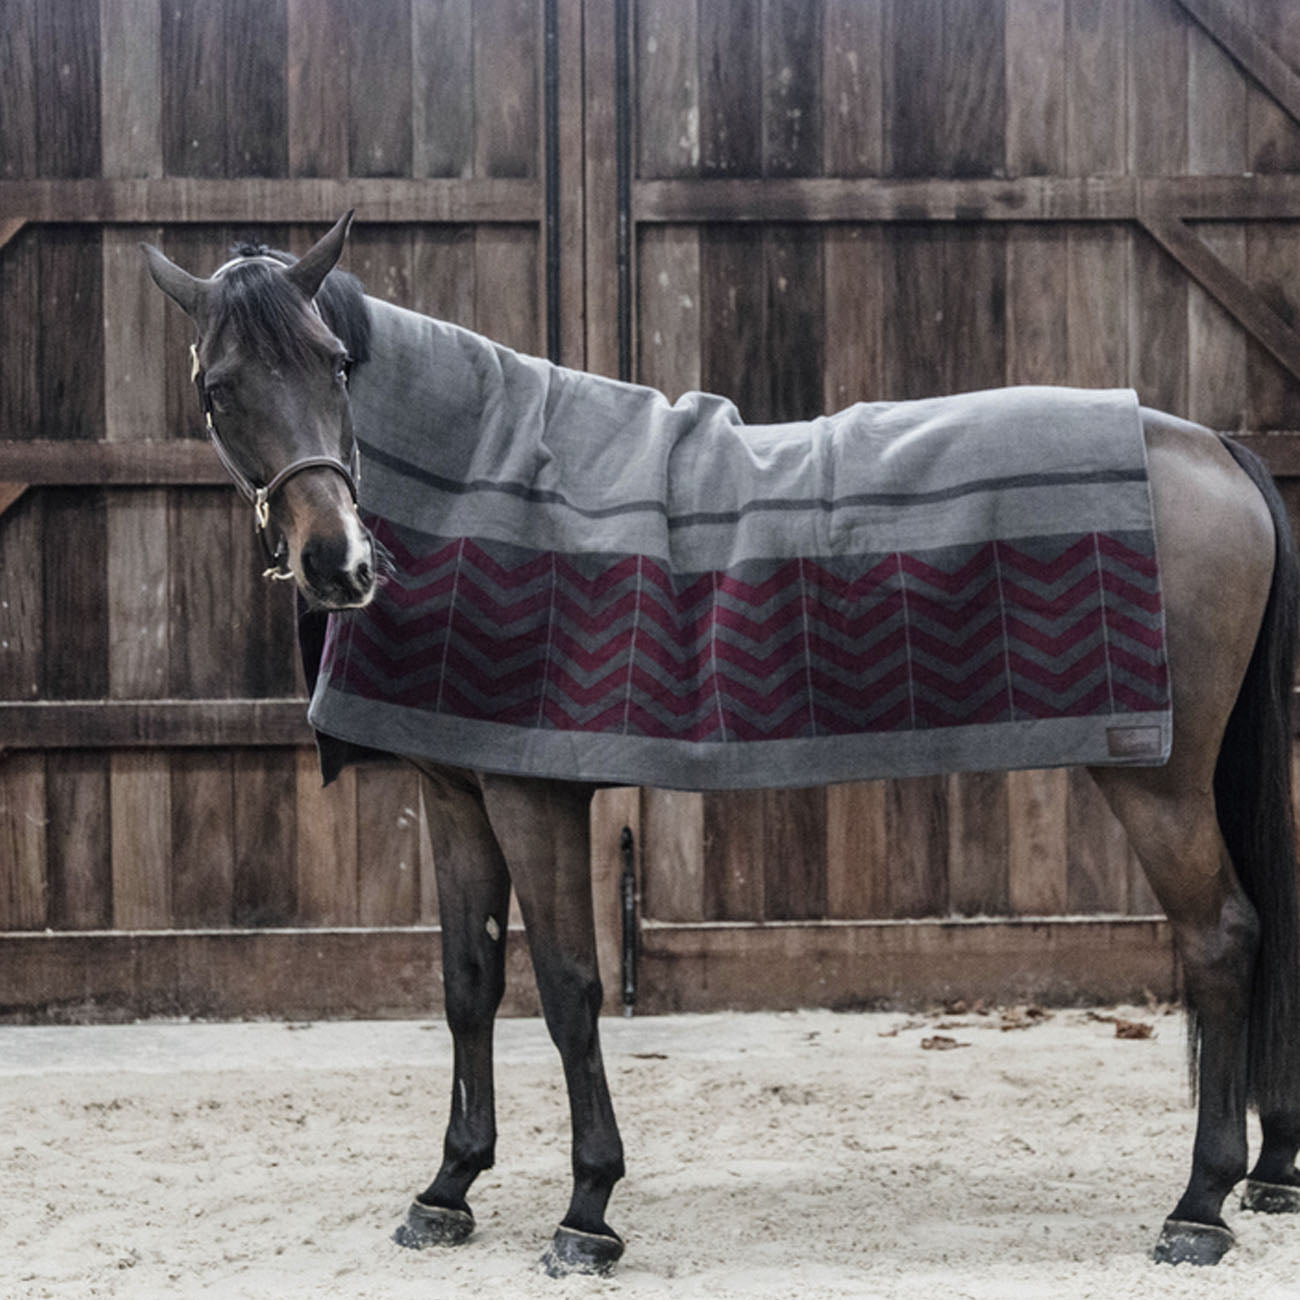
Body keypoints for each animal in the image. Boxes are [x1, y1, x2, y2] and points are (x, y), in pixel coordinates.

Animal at [141, 213, 1300, 1276]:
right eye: (219, 390)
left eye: (336, 365)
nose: (339, 563)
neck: (477, 472)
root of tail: (1208, 447)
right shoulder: (456, 789)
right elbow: (468, 983)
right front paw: (447, 1189)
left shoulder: (532, 794)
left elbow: (568, 988)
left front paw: (587, 1211)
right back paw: (1255, 1176)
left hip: (1157, 781)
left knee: (1221, 938)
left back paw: (1198, 1206)